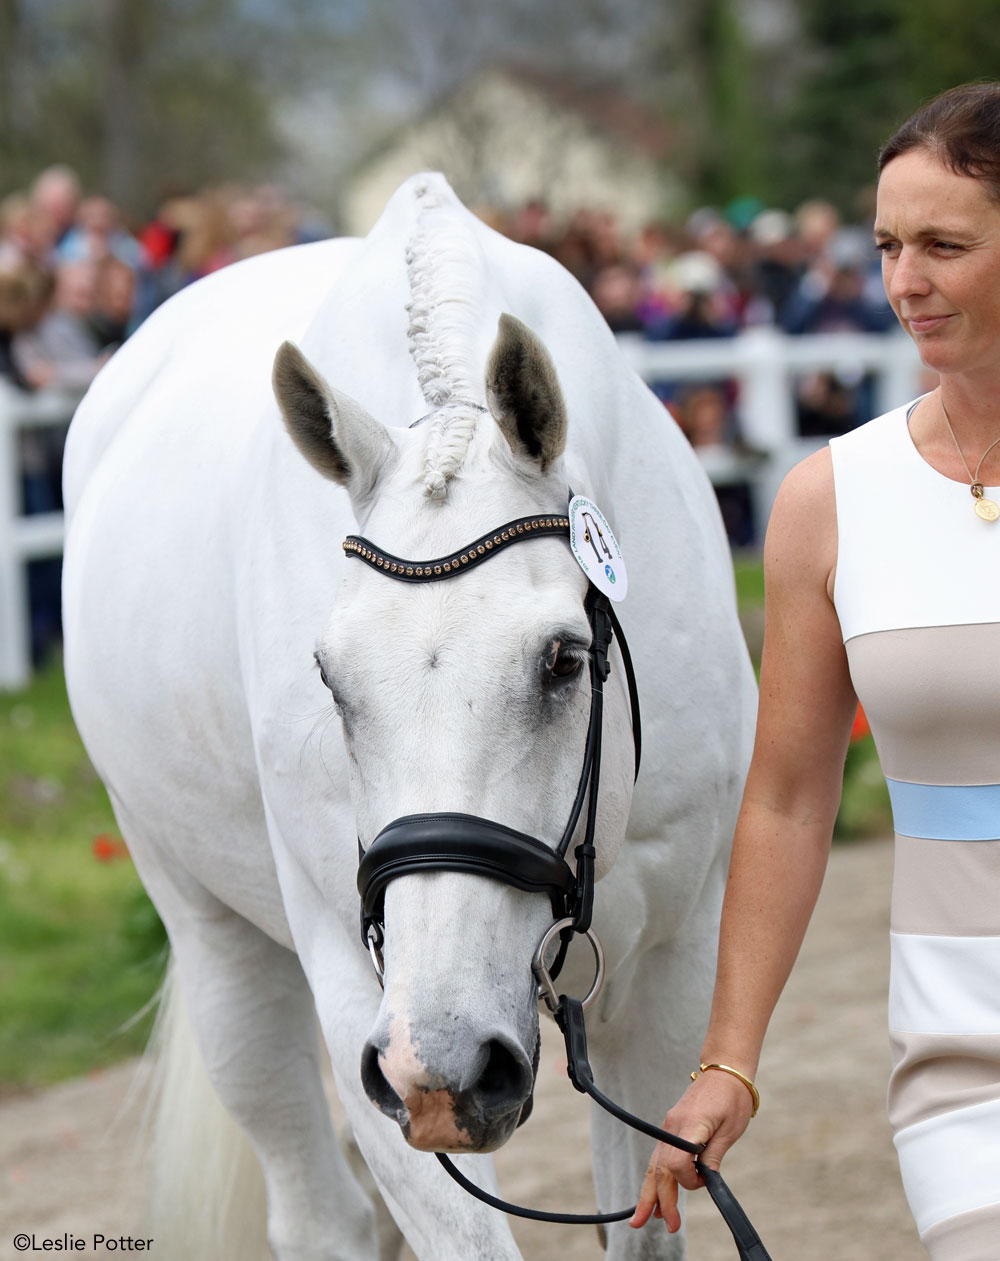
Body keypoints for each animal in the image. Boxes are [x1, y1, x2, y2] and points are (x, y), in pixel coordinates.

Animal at [62, 170, 756, 1261]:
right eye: (329, 678)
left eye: (563, 660)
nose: (449, 1066)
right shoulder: (365, 996)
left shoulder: (675, 960)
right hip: (216, 939)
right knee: (317, 1214)